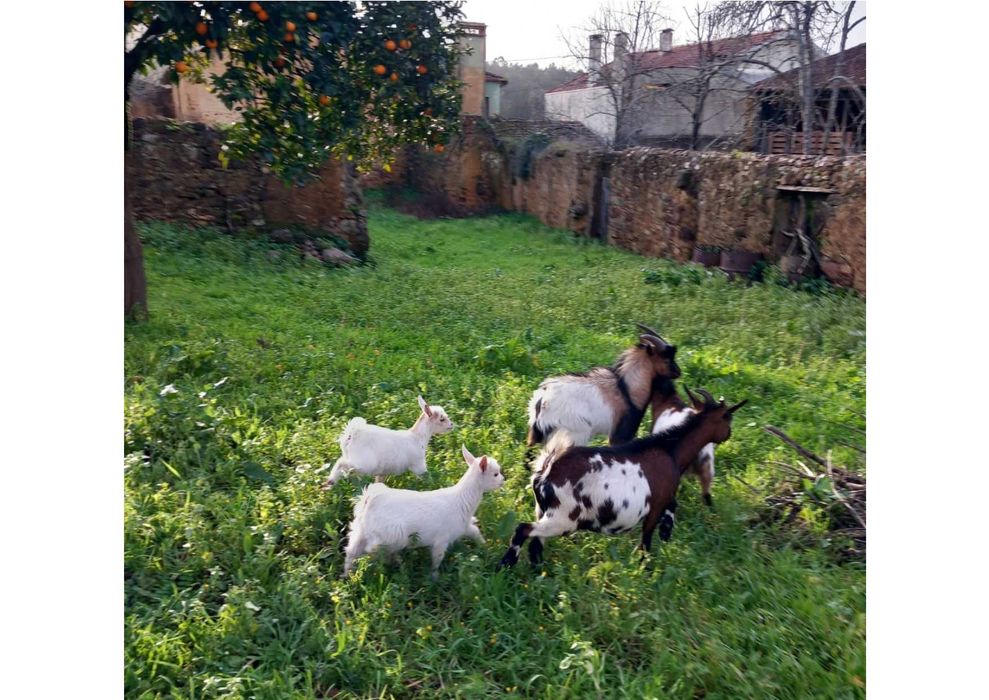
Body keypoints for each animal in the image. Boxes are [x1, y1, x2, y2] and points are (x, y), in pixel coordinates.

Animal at [321, 395, 453, 490]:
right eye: (442, 419)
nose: (452, 425)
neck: (417, 437)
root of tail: (351, 434)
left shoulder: (382, 473)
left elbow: (378, 483)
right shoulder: (419, 465)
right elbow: (427, 477)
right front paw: (437, 485)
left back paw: (330, 483)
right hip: (364, 463)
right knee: (342, 463)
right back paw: (330, 481)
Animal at [343, 445, 506, 579]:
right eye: (495, 474)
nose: (503, 480)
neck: (461, 500)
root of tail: (368, 500)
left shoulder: (463, 527)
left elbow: (475, 532)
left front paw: (486, 548)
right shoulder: (441, 539)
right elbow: (437, 559)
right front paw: (434, 578)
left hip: (360, 530)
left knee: (351, 550)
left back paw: (348, 575)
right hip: (390, 535)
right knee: (372, 550)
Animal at [499, 388, 746, 568]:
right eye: (728, 418)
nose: (729, 434)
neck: (670, 450)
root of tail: (547, 469)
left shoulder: (665, 497)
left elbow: (672, 507)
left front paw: (666, 531)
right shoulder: (655, 505)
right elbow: (646, 539)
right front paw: (645, 567)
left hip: (543, 510)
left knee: (535, 542)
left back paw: (536, 569)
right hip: (564, 518)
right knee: (523, 530)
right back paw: (505, 565)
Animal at [525, 323, 681, 448]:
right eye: (666, 358)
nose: (678, 372)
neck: (628, 390)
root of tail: (542, 398)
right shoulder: (619, 436)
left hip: (537, 434)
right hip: (575, 434)